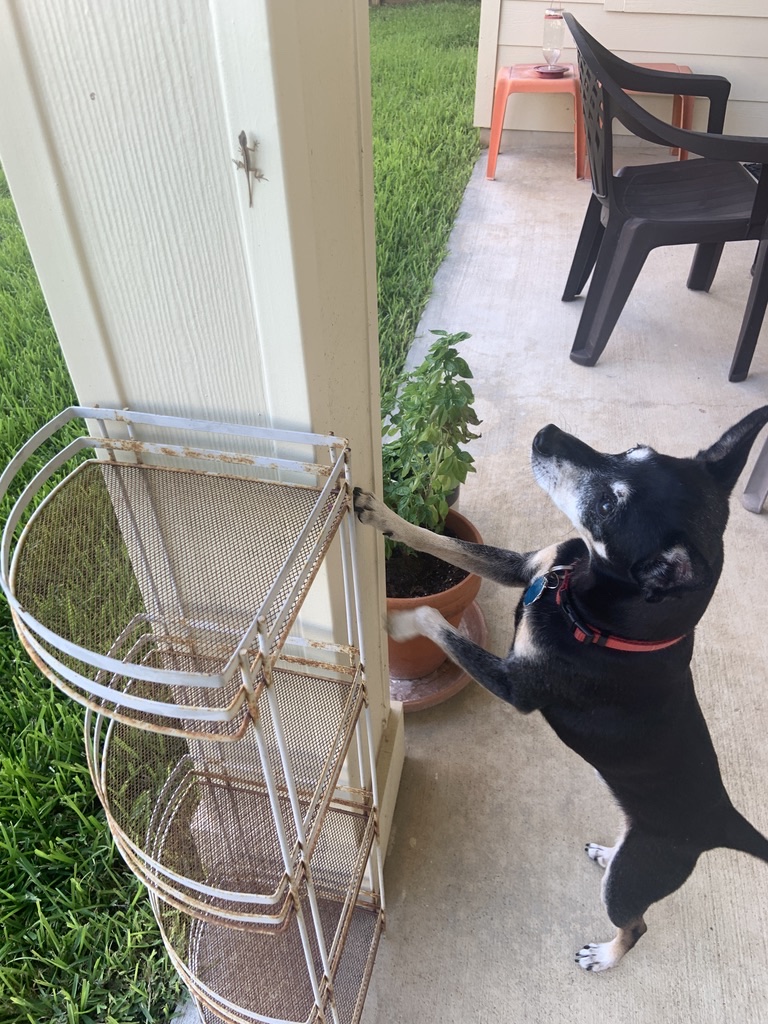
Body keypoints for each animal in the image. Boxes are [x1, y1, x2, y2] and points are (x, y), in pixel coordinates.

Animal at [358, 405, 768, 966]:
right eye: (633, 448)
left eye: (606, 505)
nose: (546, 434)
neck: (591, 606)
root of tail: (723, 822)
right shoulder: (528, 564)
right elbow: (439, 540)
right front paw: (379, 513)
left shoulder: (515, 686)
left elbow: (432, 618)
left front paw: (396, 623)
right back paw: (605, 851)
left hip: (635, 878)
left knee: (636, 926)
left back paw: (605, 956)